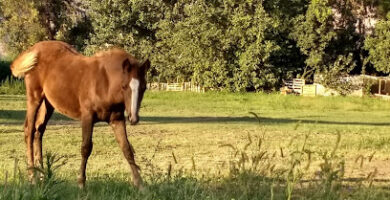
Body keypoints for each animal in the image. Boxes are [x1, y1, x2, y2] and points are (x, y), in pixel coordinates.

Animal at [10, 41, 151, 189]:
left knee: (39, 131)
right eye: (124, 86)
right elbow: (86, 148)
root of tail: (33, 50)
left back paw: (42, 176)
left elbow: (127, 148)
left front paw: (140, 185)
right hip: (34, 98)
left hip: (48, 104)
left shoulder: (117, 119)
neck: (104, 82)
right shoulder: (87, 117)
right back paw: (32, 177)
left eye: (144, 88)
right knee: (29, 130)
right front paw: (81, 183)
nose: (133, 118)